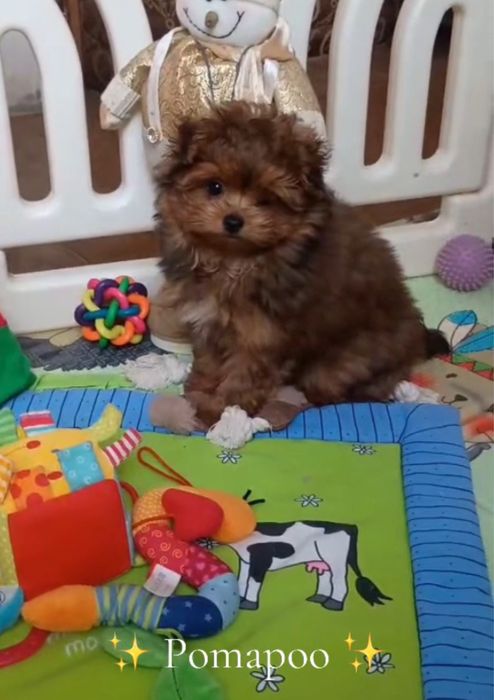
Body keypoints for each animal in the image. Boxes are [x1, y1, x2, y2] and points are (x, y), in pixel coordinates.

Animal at [153, 102, 448, 429]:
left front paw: (221, 410)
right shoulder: (210, 322)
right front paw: (199, 393)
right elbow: (208, 362)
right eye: (214, 187)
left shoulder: (259, 337)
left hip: (345, 363)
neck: (234, 260)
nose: (233, 221)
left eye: (266, 200)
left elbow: (241, 376)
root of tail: (416, 341)